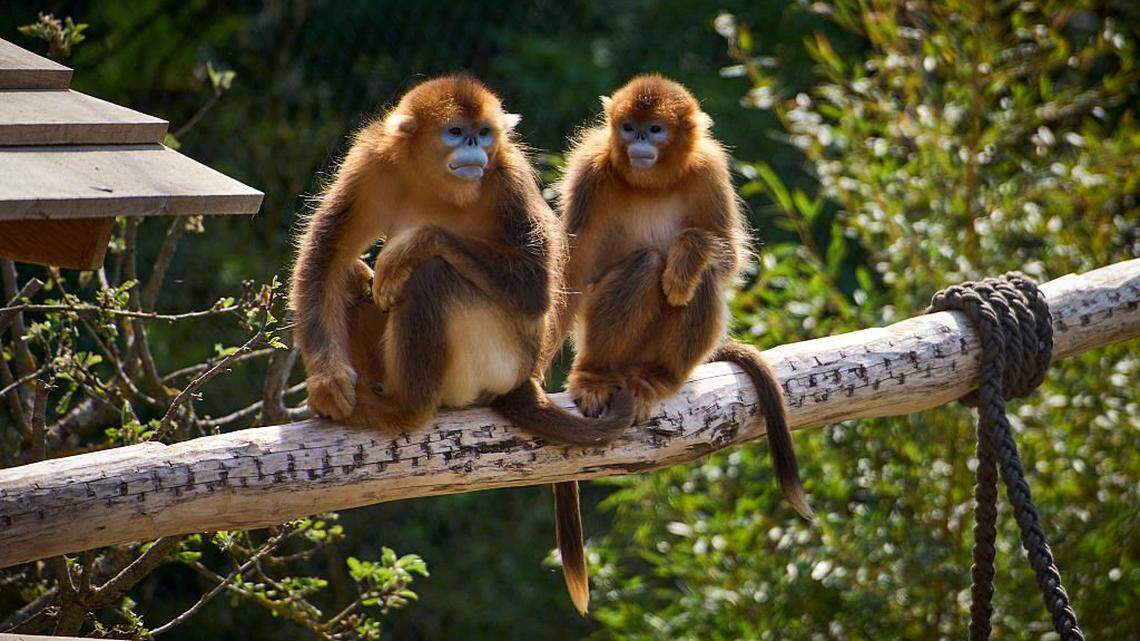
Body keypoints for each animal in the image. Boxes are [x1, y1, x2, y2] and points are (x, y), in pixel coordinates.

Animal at [289, 75, 635, 615]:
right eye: (456, 132)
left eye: (484, 133)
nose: (474, 146)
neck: (439, 185)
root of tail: (523, 379)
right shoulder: (372, 162)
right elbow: (327, 255)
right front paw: (328, 382)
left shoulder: (507, 173)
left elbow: (535, 285)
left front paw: (408, 247)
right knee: (348, 271)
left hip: (495, 359)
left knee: (434, 277)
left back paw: (405, 409)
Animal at [554, 75, 812, 532]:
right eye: (628, 128)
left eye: (655, 129)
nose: (639, 141)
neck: (651, 183)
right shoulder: (590, 165)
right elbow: (574, 266)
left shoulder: (709, 168)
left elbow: (726, 257)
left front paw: (688, 255)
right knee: (644, 265)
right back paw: (595, 375)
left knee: (701, 279)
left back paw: (657, 377)